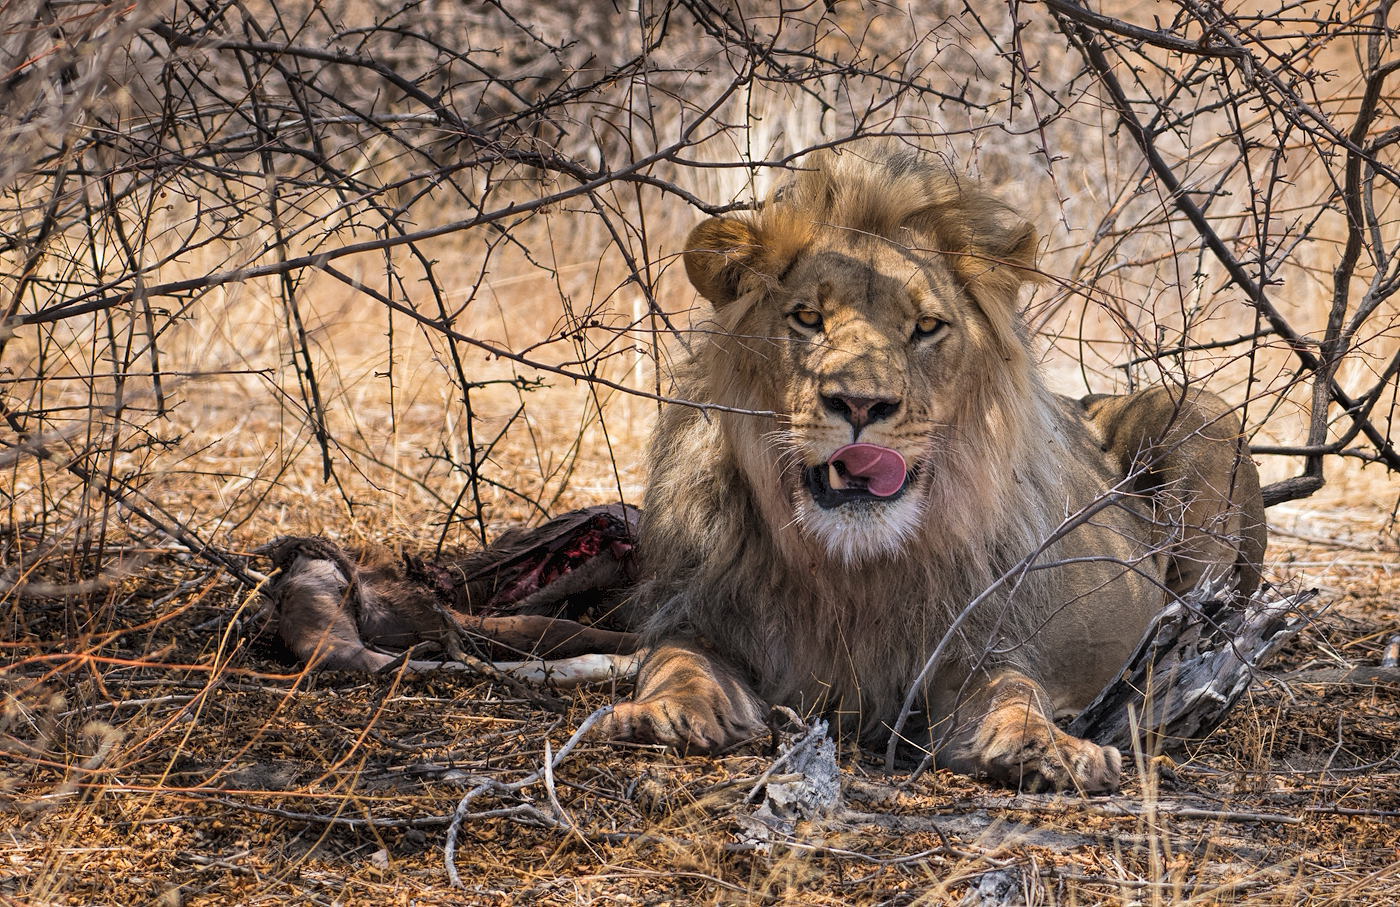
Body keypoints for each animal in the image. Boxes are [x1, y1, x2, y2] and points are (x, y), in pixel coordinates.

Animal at [602, 143, 1271, 795]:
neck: (851, 572)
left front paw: (1047, 748)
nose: (860, 404)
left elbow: (1012, 689)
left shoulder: (972, 646)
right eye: (807, 318)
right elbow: (676, 659)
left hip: (1200, 412)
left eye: (926, 327)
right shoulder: (701, 611)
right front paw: (661, 716)